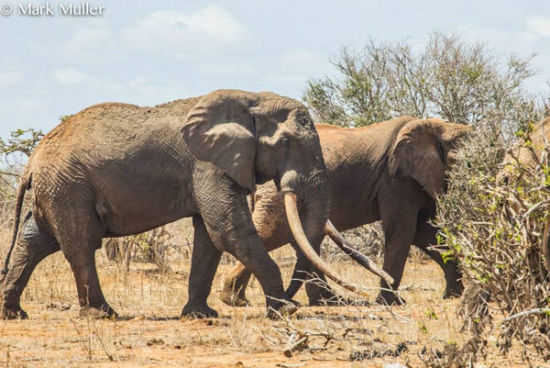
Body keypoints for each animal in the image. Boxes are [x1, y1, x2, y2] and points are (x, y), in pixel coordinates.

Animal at [1, 88, 366, 320]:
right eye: (287, 143)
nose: (294, 299)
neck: (250, 99)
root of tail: (32, 161)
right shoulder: (207, 164)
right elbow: (226, 228)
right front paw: (285, 311)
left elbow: (209, 236)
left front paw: (201, 315)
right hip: (69, 188)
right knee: (80, 243)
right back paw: (102, 315)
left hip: (58, 189)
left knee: (34, 242)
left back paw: (14, 313)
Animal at [222, 116, 472, 306]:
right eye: (461, 161)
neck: (437, 125)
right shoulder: (396, 178)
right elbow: (403, 231)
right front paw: (390, 303)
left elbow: (426, 233)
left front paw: (452, 296)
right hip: (278, 197)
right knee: (271, 234)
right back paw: (234, 299)